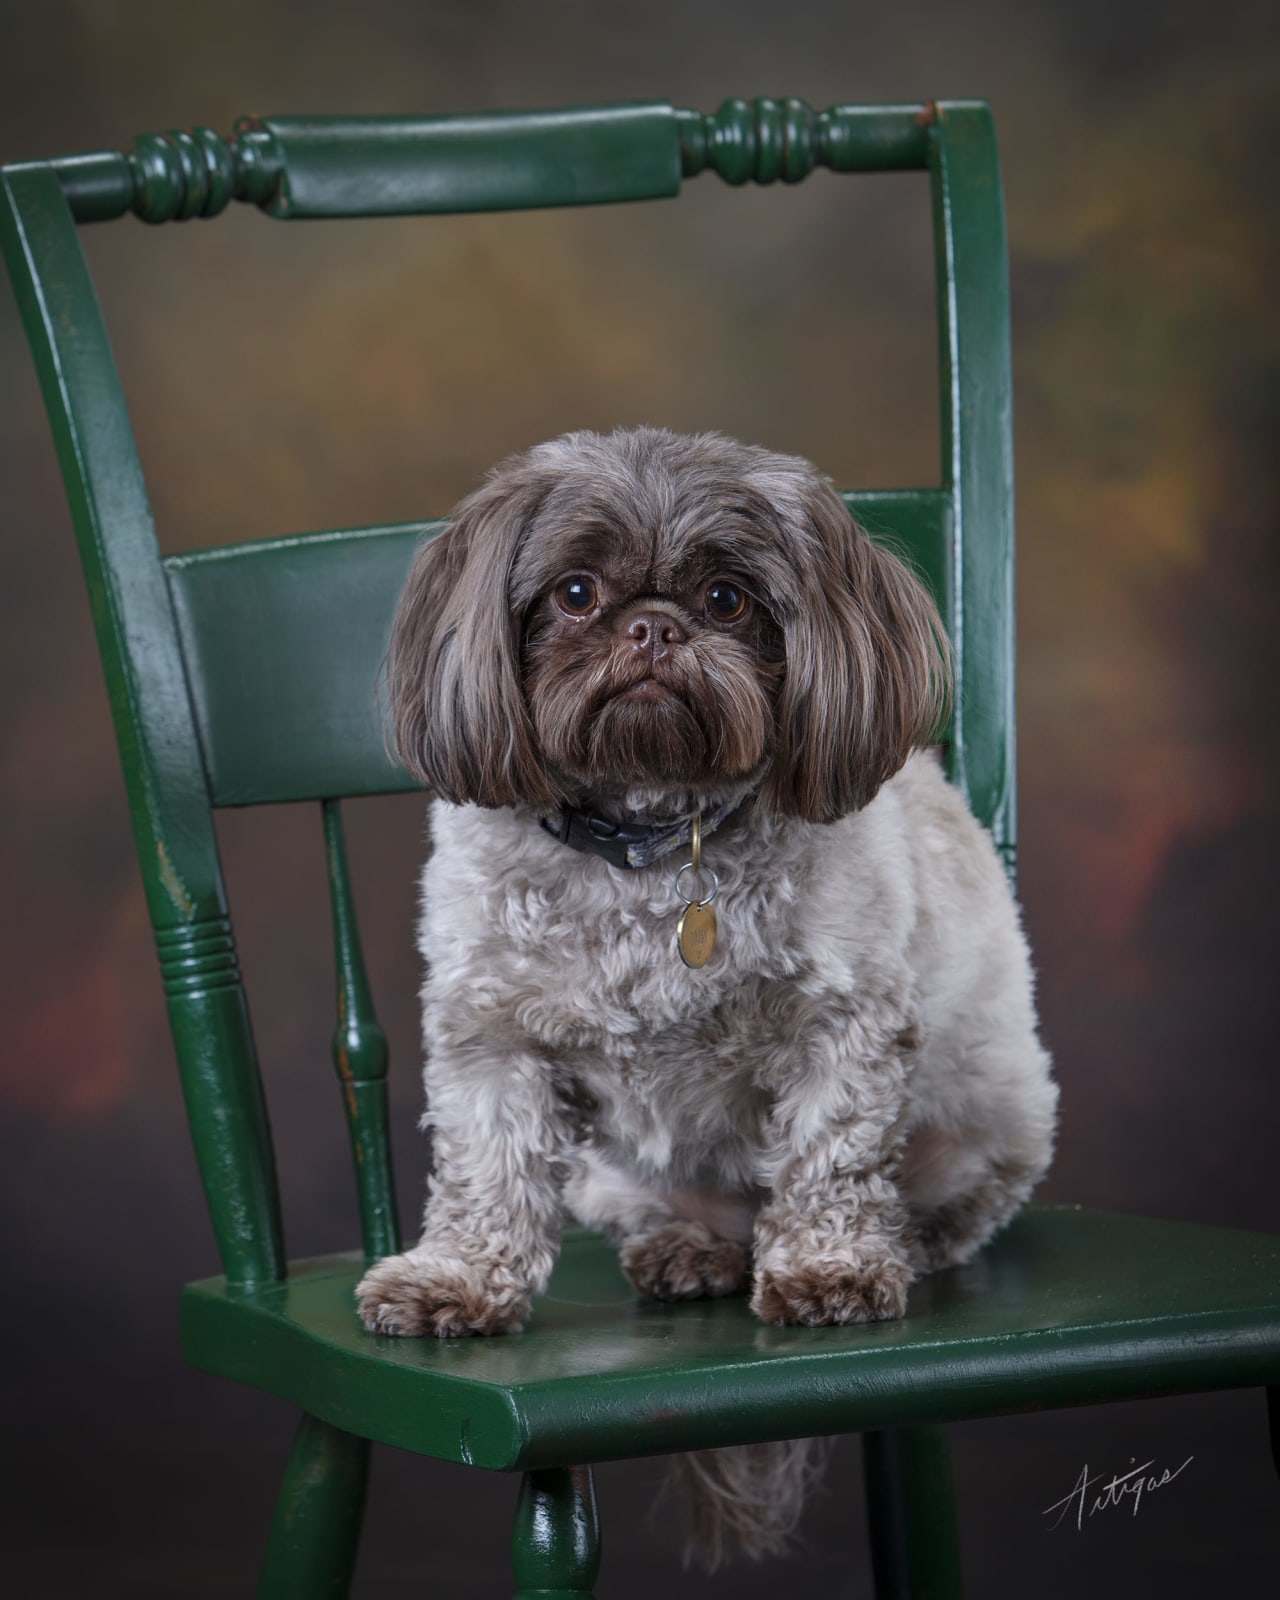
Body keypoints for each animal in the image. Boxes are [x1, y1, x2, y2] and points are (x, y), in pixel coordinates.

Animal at [355, 425, 1056, 1561]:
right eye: (577, 591)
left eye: (728, 599)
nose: (652, 623)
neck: (649, 842)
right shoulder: (488, 1038)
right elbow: (485, 1174)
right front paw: (456, 1277)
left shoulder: (845, 1025)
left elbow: (829, 1156)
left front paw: (828, 1267)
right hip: (610, 1177)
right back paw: (688, 1248)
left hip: (996, 1118)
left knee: (941, 1207)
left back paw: (890, 1245)